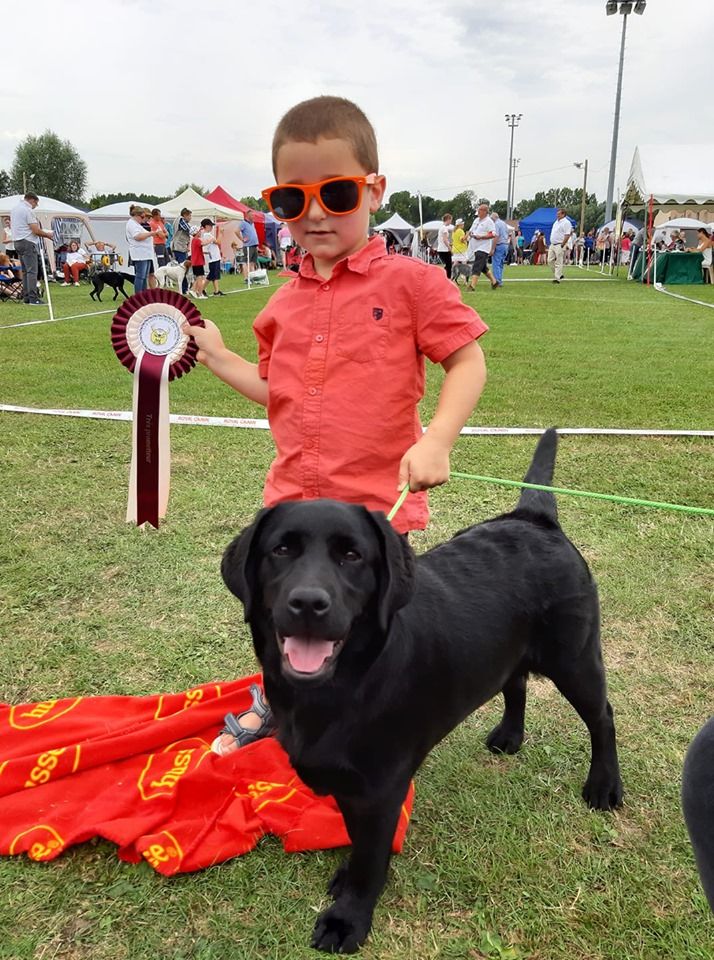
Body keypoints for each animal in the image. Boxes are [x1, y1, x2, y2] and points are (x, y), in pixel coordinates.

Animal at [220, 434, 620, 952]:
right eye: (281, 550)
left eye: (352, 556)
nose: (308, 602)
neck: (346, 683)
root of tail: (533, 516)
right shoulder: (353, 786)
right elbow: (357, 839)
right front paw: (347, 876)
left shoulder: (379, 786)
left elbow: (371, 855)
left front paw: (348, 917)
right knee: (514, 684)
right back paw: (510, 736)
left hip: (574, 658)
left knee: (602, 715)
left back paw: (605, 785)